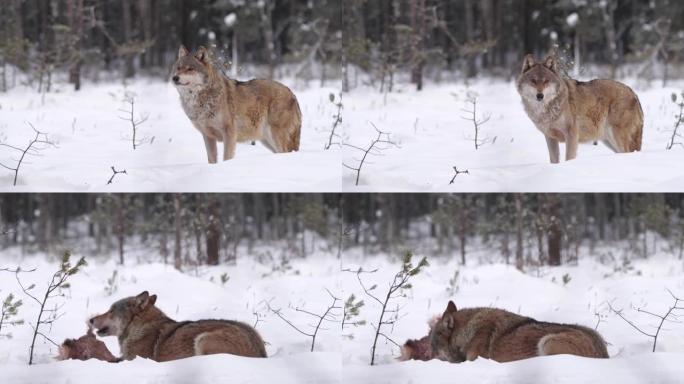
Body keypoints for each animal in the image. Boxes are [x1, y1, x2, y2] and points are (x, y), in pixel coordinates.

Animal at [88, 292, 264, 362]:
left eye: (111, 310)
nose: (90, 320)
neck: (138, 329)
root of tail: (262, 353)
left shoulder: (133, 359)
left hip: (202, 340)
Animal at [172, 45, 300, 164]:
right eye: (178, 68)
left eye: (190, 69)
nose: (174, 78)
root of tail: (292, 94)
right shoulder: (207, 136)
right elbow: (212, 160)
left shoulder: (229, 133)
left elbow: (227, 157)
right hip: (267, 141)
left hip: (275, 137)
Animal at [516, 53, 644, 162]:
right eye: (533, 81)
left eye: (546, 81)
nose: (540, 95)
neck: (545, 110)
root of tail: (634, 94)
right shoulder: (550, 137)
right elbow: (554, 160)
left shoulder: (571, 134)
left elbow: (569, 157)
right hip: (609, 140)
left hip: (617, 137)